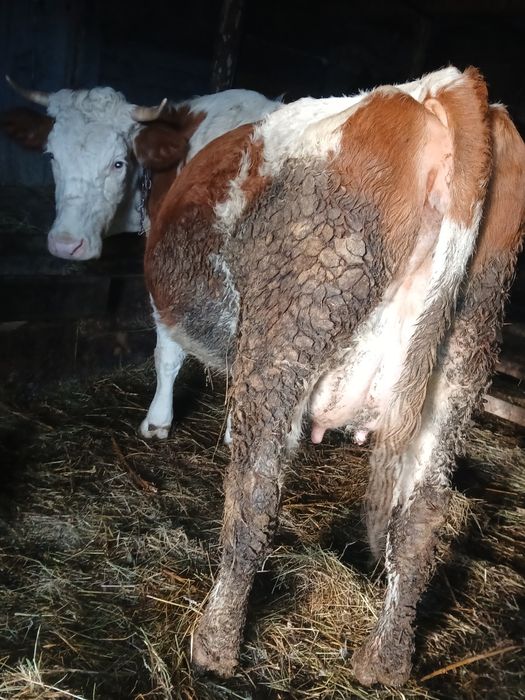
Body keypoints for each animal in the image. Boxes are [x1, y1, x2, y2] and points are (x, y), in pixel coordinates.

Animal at [139, 64, 525, 686]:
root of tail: (445, 86)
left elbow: (167, 356)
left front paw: (157, 424)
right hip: (466, 349)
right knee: (421, 516)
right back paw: (383, 663)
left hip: (289, 333)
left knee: (255, 491)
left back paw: (213, 646)